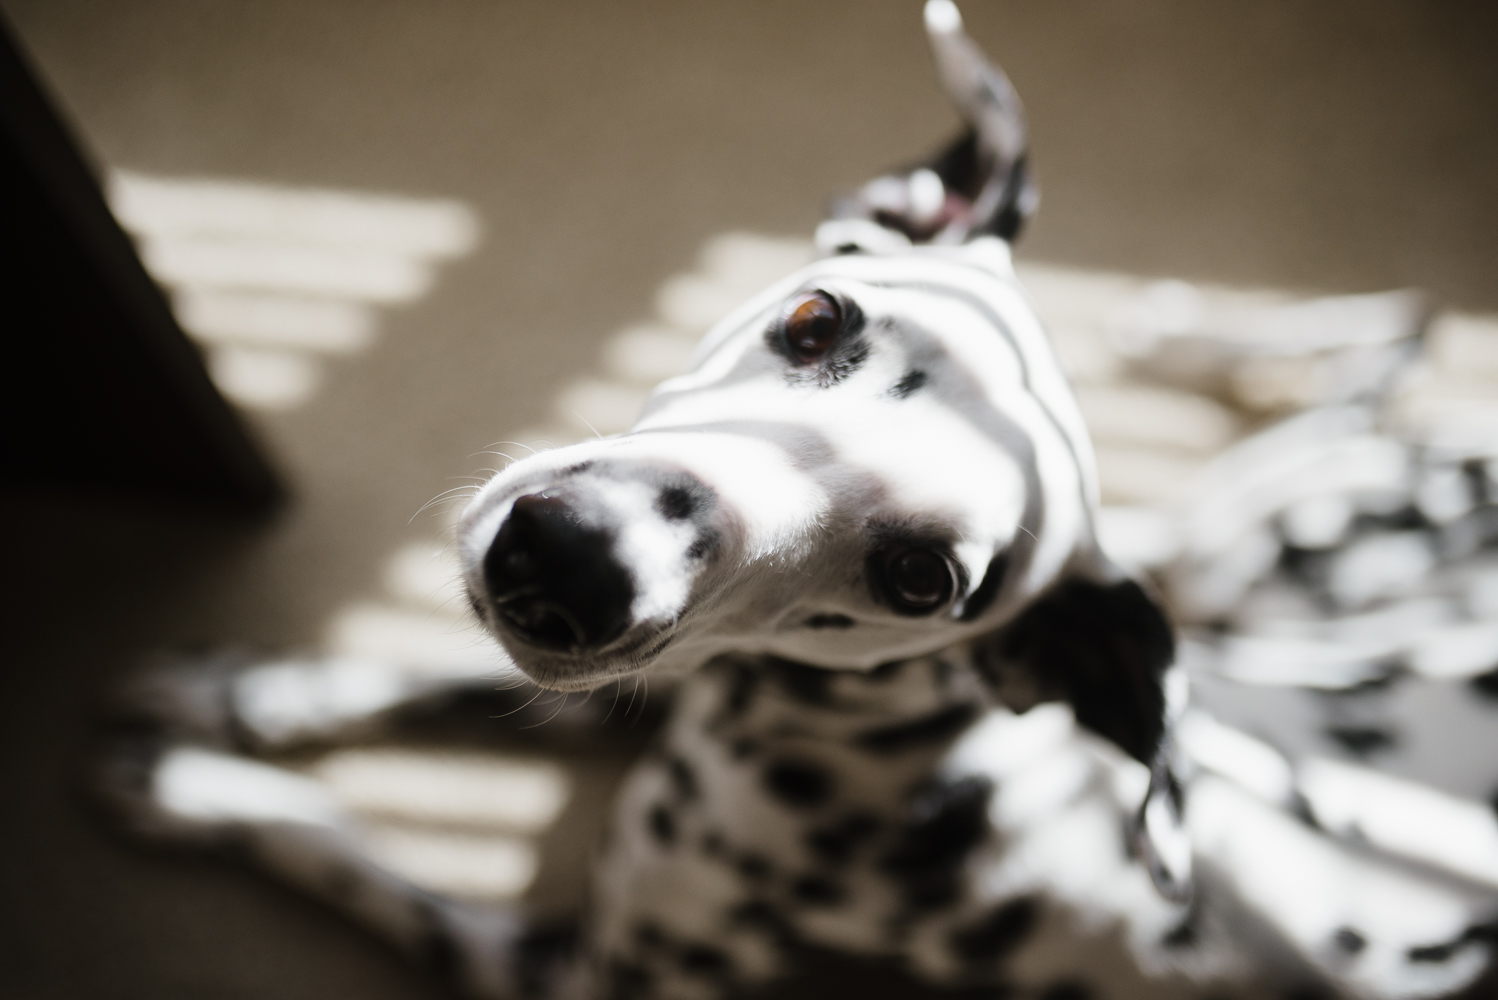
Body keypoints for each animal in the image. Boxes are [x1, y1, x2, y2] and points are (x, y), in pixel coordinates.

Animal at [99, 5, 1498, 999]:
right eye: (819, 318)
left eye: (922, 579)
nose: (565, 562)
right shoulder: (650, 683)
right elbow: (414, 677)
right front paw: (232, 691)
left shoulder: (571, 970)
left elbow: (340, 840)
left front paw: (183, 785)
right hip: (1248, 553)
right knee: (1358, 383)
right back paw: (1217, 333)